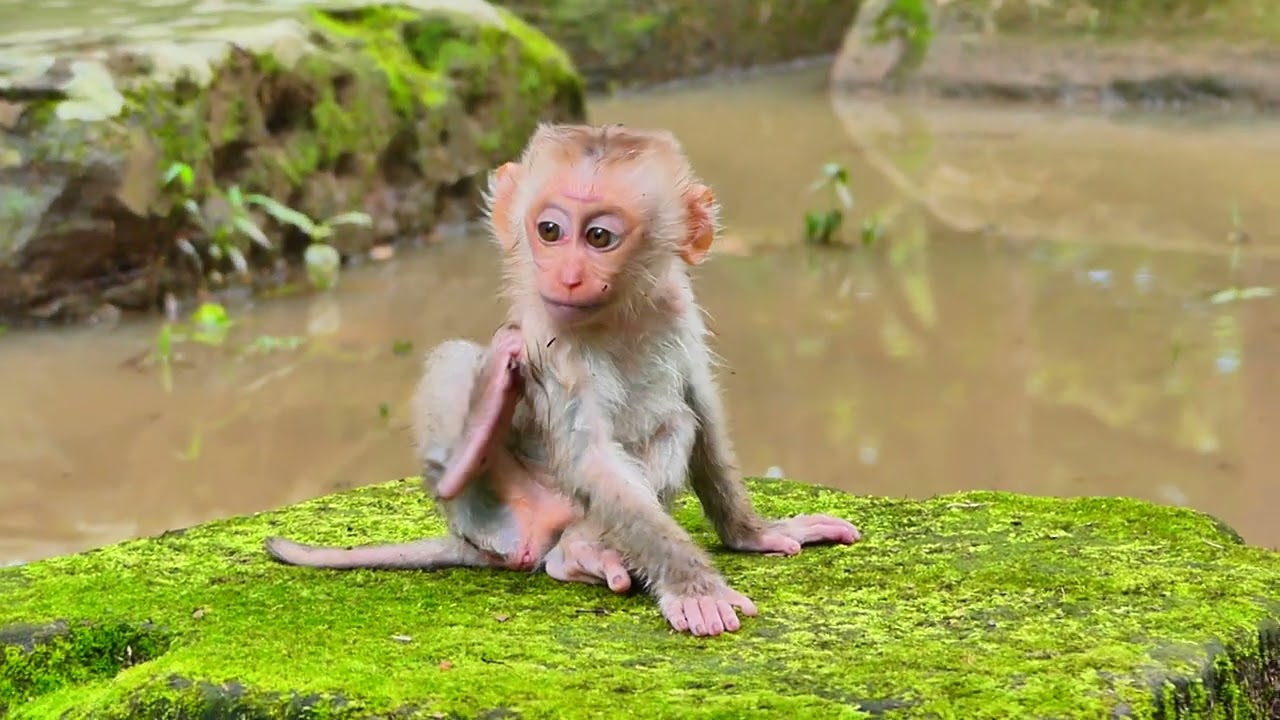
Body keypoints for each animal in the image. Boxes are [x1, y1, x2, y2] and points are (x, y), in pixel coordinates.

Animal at [265, 123, 862, 636]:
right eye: (549, 230)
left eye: (599, 236)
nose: (567, 276)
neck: (614, 314)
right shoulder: (552, 342)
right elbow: (590, 452)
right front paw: (696, 588)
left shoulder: (678, 304)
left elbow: (701, 406)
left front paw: (753, 534)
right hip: (496, 517)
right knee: (461, 360)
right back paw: (473, 442)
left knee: (673, 424)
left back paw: (582, 553)